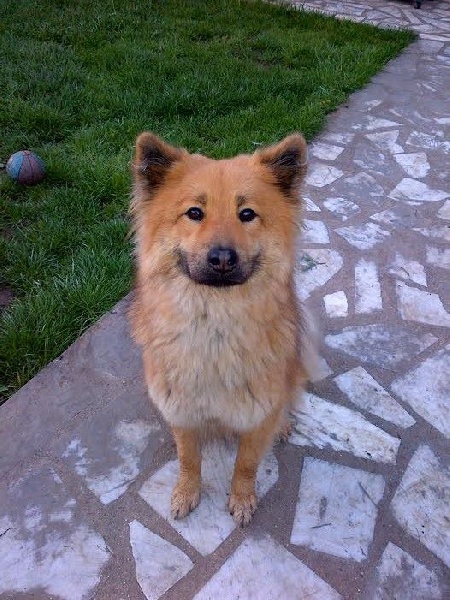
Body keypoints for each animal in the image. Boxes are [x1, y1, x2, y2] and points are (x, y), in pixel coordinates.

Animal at [130, 132, 310, 526]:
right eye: (195, 213)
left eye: (247, 215)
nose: (223, 259)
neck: (214, 325)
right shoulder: (180, 411)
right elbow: (188, 458)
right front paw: (186, 492)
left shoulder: (257, 416)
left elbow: (246, 464)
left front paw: (241, 499)